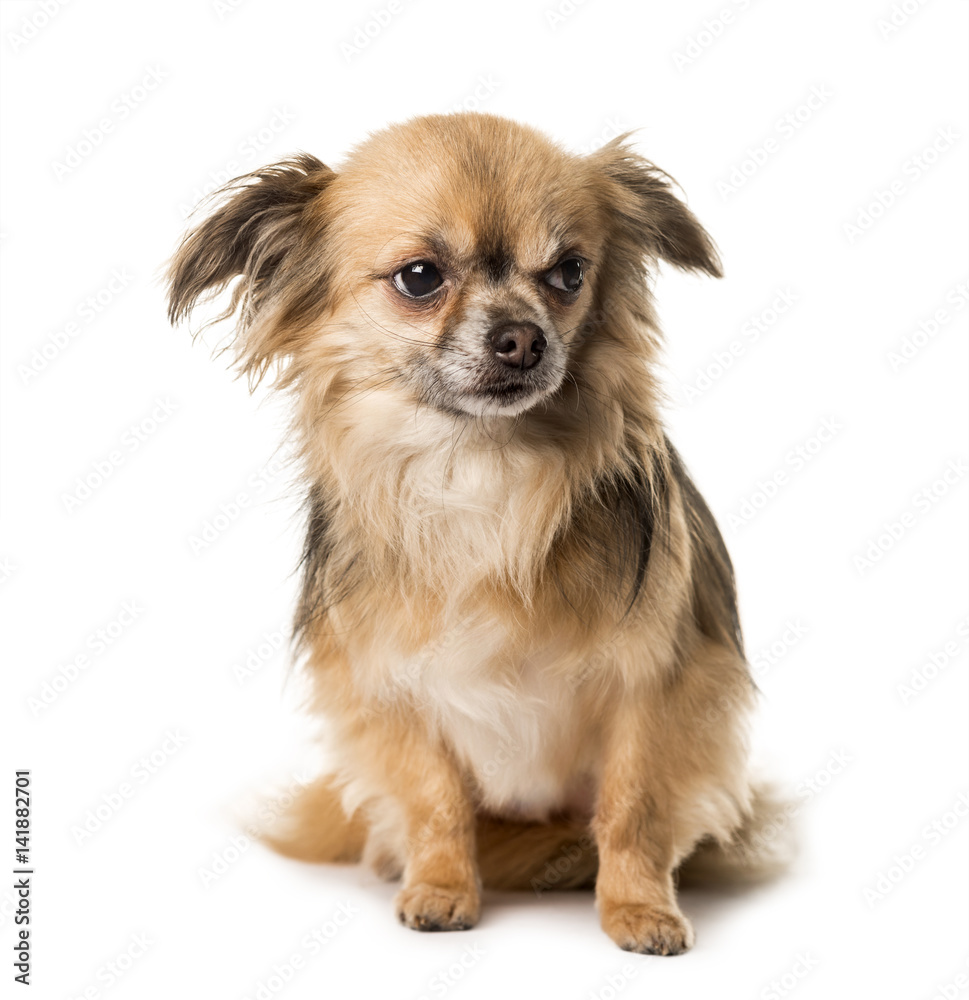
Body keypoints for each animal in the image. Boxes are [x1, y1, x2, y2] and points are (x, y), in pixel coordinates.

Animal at [166, 113, 780, 956]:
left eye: (568, 273)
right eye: (420, 277)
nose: (522, 337)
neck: (477, 469)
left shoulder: (658, 686)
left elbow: (631, 807)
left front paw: (637, 909)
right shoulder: (389, 691)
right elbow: (435, 801)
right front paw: (440, 888)